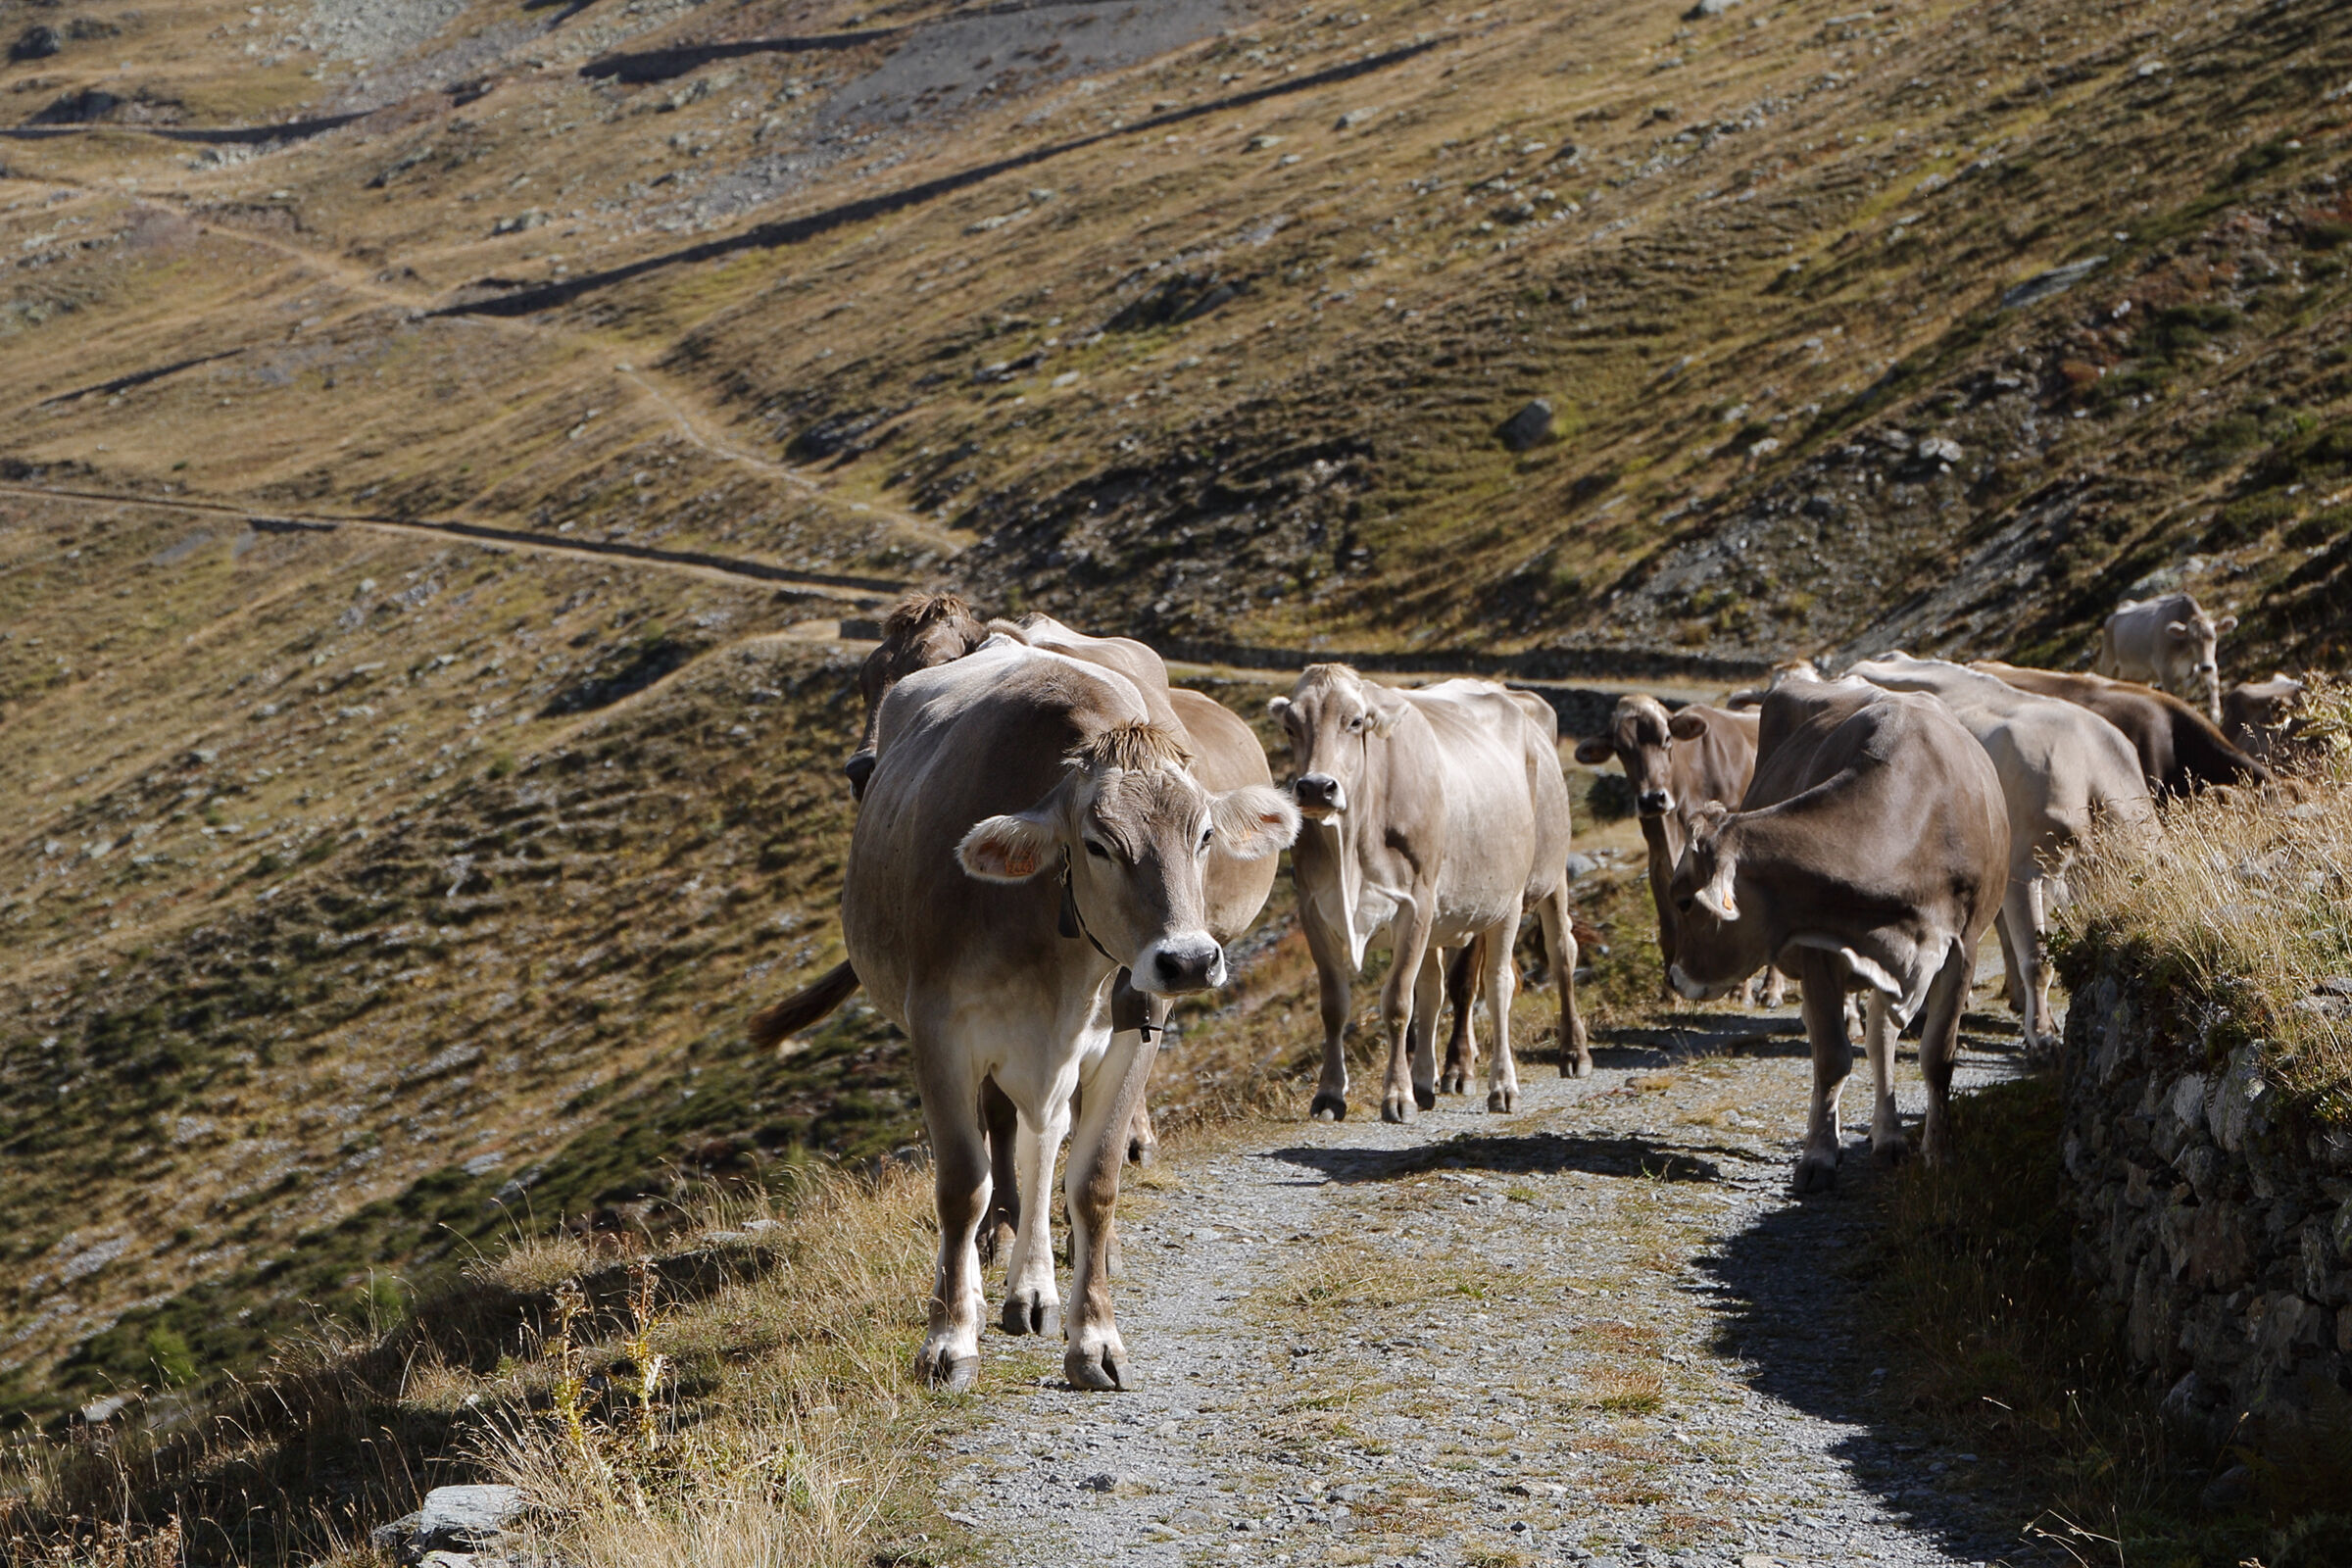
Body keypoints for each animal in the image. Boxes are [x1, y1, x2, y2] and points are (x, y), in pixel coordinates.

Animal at [847, 634, 1296, 1390]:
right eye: (1098, 844)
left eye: (1205, 834)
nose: (1188, 960)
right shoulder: (939, 1032)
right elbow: (963, 1185)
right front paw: (949, 1340)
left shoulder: (1134, 1029)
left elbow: (1092, 1181)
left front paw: (1096, 1341)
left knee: (1043, 1139)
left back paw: (1032, 1290)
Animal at [1271, 665, 1587, 1124]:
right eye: (1290, 726)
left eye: (1355, 722)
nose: (1315, 787)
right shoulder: (1313, 909)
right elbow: (1335, 1005)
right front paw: (1330, 1094)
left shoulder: (1416, 904)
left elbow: (1399, 1001)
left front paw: (1397, 1096)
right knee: (1440, 987)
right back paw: (1431, 1080)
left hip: (1535, 880)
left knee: (1533, 966)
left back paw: (1541, 1067)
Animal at [1571, 695, 1787, 1006]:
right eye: (1620, 750)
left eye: (1667, 738)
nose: (1652, 799)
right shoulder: (1658, 859)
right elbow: (1669, 930)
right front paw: (1669, 994)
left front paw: (1743, 990)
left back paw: (1771, 988)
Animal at [1664, 675, 2010, 1190]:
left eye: (1685, 900)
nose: (1674, 976)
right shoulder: (1818, 948)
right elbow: (1831, 1056)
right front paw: (1819, 1156)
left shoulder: (1960, 949)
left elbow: (1937, 1056)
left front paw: (1940, 1153)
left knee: (1882, 1036)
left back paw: (1889, 1137)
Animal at [2094, 592, 2237, 722]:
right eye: (2192, 640)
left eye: (2214, 637)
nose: (2206, 667)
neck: (2188, 654)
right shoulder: (2164, 668)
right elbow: (2172, 696)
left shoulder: (2206, 663)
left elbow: (2213, 683)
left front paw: (2215, 714)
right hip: (2108, 663)